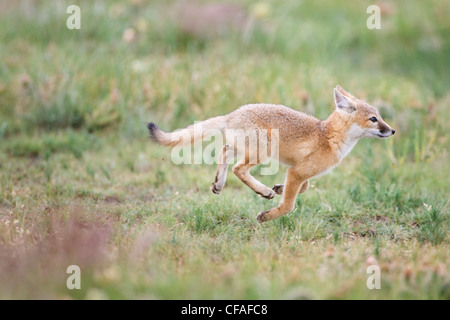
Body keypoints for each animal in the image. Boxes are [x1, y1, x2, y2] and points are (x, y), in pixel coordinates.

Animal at [148, 86, 394, 224]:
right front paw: (267, 215)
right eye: (374, 119)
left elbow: (304, 188)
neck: (327, 135)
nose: (392, 131)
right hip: (263, 152)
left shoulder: (298, 171)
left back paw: (219, 183)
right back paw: (262, 191)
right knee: (238, 168)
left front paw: (279, 188)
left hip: (246, 149)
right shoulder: (297, 171)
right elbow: (289, 205)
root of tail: (232, 114)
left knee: (224, 152)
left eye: (380, 117)